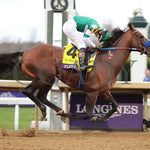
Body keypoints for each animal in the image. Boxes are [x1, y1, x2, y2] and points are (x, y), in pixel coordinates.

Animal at [0, 23, 150, 122]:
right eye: (140, 36)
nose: (149, 49)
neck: (108, 60)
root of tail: (25, 52)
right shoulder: (93, 91)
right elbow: (87, 114)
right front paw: (68, 116)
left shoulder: (103, 90)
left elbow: (115, 106)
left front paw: (99, 119)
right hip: (43, 77)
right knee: (28, 91)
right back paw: (47, 111)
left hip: (49, 79)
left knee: (41, 96)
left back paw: (57, 110)